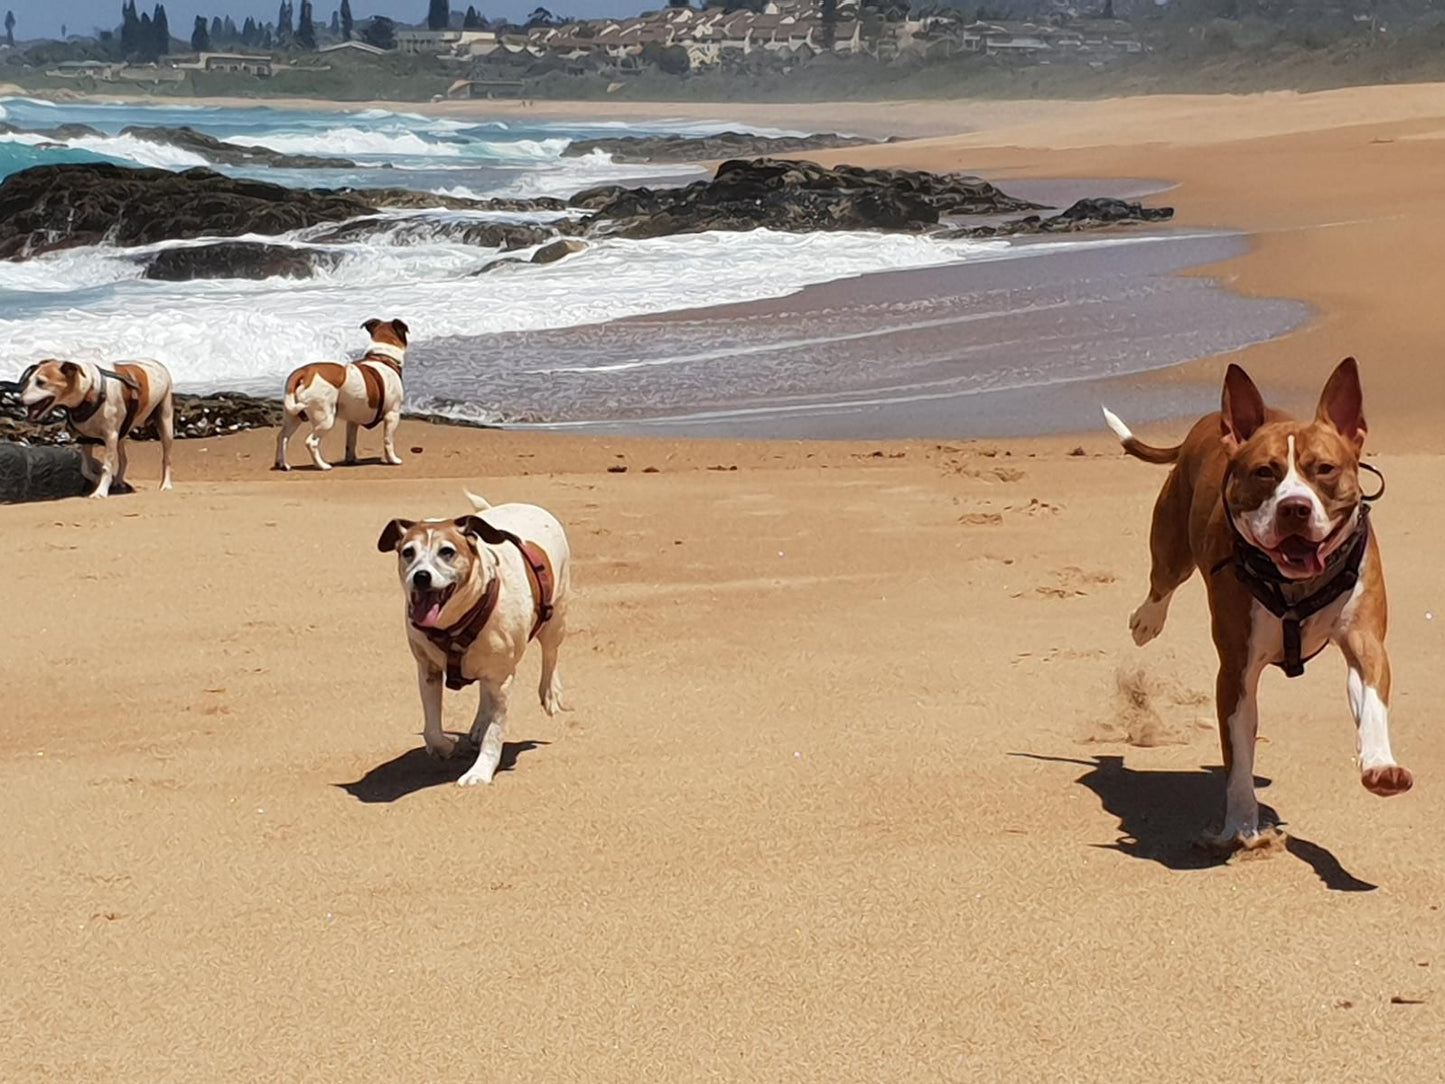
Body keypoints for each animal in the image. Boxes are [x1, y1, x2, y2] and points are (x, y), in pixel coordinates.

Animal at [15, 358, 176, 500]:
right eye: (28, 381)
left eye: (41, 382)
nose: (18, 400)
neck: (89, 390)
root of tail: (157, 363)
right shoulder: (86, 438)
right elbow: (85, 469)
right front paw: (99, 480)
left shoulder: (110, 436)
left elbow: (106, 466)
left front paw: (101, 491)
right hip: (122, 432)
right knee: (123, 459)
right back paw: (118, 481)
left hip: (165, 420)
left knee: (167, 457)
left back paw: (166, 484)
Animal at [274, 313, 407, 468]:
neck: (383, 357)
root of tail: (304, 372)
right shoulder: (392, 414)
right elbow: (388, 440)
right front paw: (393, 460)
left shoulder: (353, 421)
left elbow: (350, 442)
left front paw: (352, 459)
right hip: (325, 419)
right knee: (311, 442)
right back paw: (322, 465)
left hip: (293, 416)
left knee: (282, 437)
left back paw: (282, 464)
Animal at [375, 491, 572, 792]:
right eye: (408, 552)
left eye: (447, 551)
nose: (421, 577)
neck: (452, 625)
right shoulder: (428, 670)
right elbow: (432, 728)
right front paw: (446, 747)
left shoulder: (502, 679)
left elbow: (495, 731)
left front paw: (480, 771)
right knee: (483, 693)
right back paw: (477, 726)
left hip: (555, 615)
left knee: (550, 654)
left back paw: (550, 693)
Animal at [1103, 361, 1410, 855]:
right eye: (1265, 472)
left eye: (1325, 469)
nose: (1295, 507)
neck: (1295, 583)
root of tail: (1209, 421)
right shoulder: (1236, 671)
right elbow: (1238, 756)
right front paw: (1241, 825)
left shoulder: (1365, 642)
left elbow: (1373, 703)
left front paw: (1380, 764)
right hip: (1171, 541)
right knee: (1161, 581)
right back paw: (1146, 621)